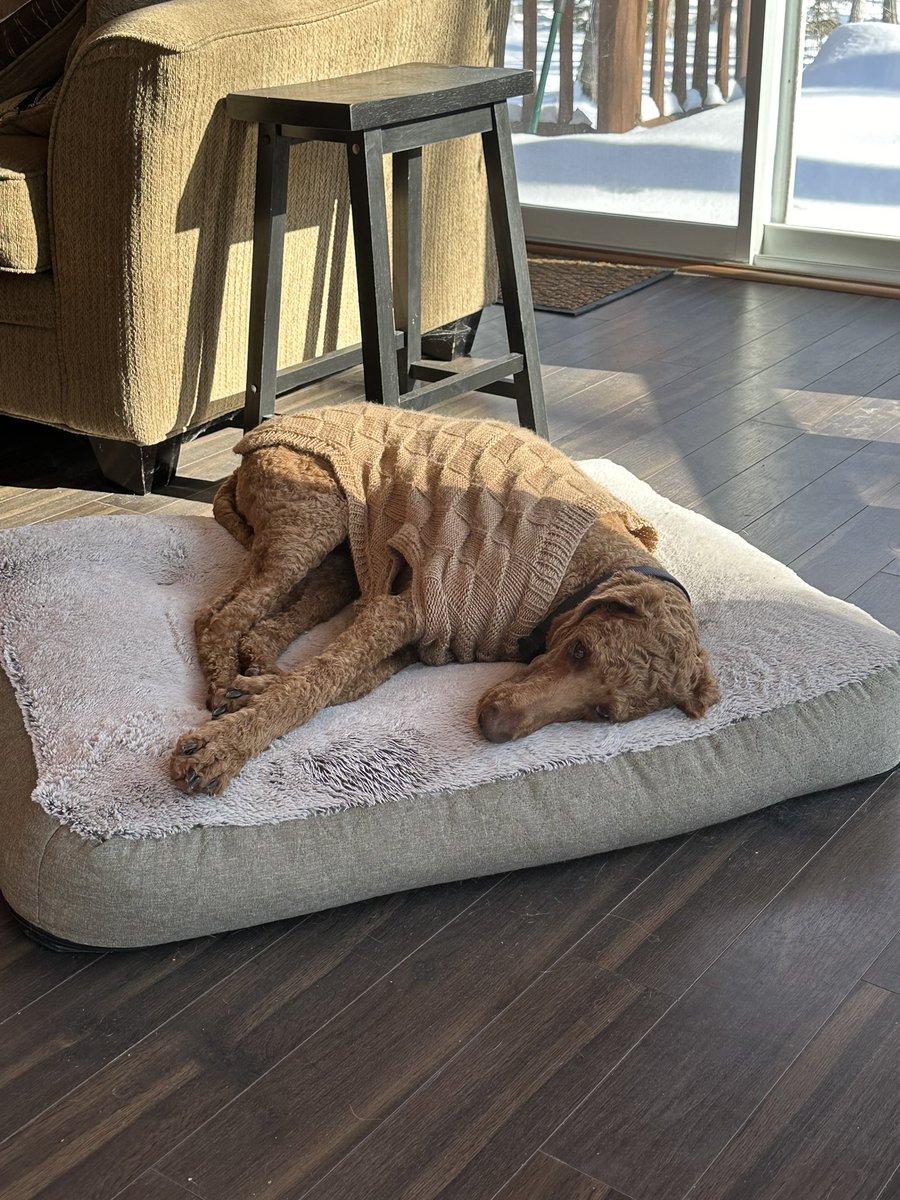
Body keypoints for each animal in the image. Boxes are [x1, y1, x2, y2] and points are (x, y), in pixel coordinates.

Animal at [169, 405, 720, 796]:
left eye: (604, 714)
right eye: (579, 649)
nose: (494, 726)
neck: (587, 569)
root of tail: (248, 449)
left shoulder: (414, 637)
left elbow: (332, 684)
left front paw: (253, 697)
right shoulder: (406, 609)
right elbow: (316, 683)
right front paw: (220, 750)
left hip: (340, 562)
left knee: (257, 625)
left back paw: (249, 673)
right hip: (311, 521)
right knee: (219, 618)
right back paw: (221, 687)